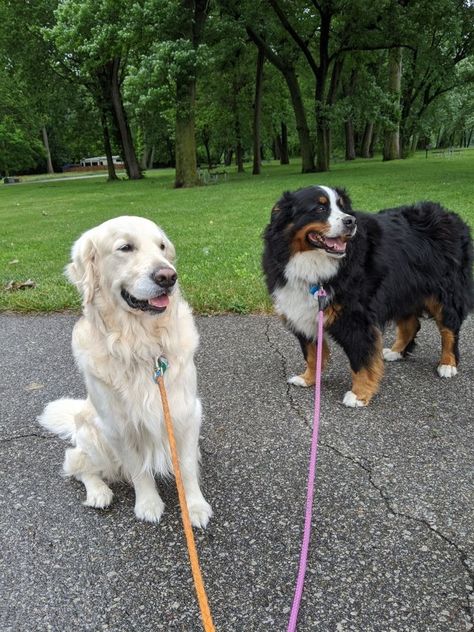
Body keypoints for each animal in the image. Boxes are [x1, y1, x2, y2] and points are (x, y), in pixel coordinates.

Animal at [38, 215, 212, 524]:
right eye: (125, 247)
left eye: (162, 246)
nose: (168, 276)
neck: (142, 344)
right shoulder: (118, 426)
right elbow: (138, 469)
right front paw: (148, 504)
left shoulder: (185, 412)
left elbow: (187, 466)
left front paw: (195, 506)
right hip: (91, 435)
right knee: (77, 464)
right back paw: (98, 492)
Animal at [262, 185, 474, 408]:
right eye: (320, 208)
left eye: (343, 207)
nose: (351, 221)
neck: (314, 264)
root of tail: (450, 215)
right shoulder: (302, 313)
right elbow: (312, 354)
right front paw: (308, 378)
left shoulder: (356, 319)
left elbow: (361, 359)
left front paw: (359, 394)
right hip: (401, 289)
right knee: (411, 324)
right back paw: (396, 352)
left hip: (445, 292)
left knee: (449, 328)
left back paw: (448, 363)